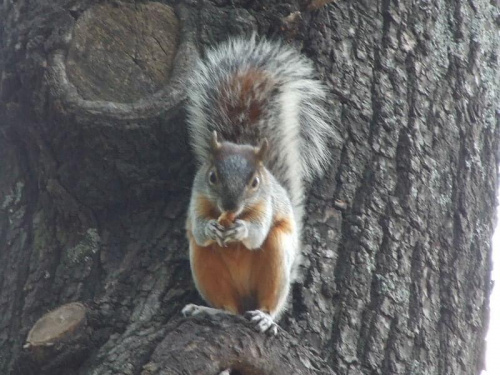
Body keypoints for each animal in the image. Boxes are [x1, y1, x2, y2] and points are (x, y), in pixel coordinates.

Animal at [180, 35, 336, 334]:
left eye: (255, 182)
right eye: (212, 177)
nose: (230, 206)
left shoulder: (267, 203)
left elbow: (257, 232)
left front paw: (241, 229)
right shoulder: (196, 197)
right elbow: (199, 227)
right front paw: (211, 227)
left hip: (276, 260)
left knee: (270, 302)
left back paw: (265, 317)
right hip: (205, 266)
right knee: (229, 306)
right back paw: (210, 310)